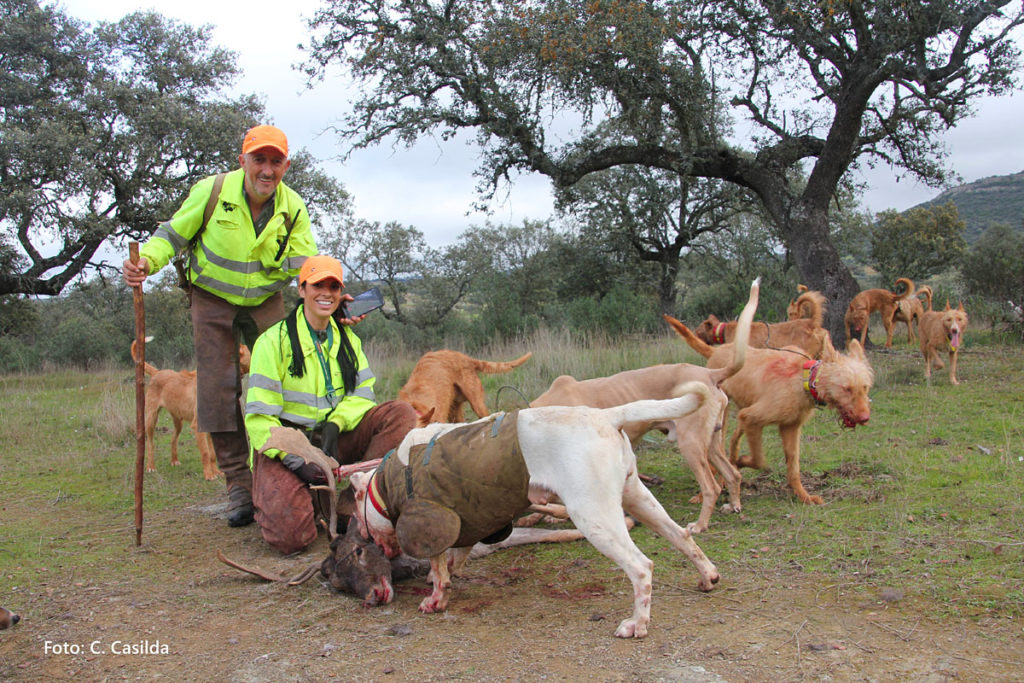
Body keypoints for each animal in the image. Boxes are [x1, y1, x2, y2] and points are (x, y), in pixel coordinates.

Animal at [131, 342, 252, 481]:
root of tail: (158, 372)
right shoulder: (198, 426)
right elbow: (205, 452)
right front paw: (209, 475)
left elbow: (212, 454)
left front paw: (216, 472)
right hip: (151, 418)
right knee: (150, 443)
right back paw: (150, 466)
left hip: (178, 421)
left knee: (173, 439)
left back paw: (174, 460)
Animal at [350, 385, 720, 643]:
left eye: (355, 509)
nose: (366, 538)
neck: (387, 481)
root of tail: (606, 416)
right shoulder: (471, 521)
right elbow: (456, 558)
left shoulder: (432, 521)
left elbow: (441, 571)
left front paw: (435, 600)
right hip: (639, 500)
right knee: (683, 537)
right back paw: (708, 576)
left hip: (594, 517)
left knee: (642, 567)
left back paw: (637, 624)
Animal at [532, 278, 765, 532]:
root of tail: (710, 374)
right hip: (711, 443)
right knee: (733, 475)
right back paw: (734, 506)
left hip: (691, 444)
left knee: (711, 487)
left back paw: (700, 525)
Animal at [667, 317, 876, 505]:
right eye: (846, 388)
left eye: (865, 387)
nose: (865, 418)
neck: (803, 380)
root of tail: (717, 350)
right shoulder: (752, 417)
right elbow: (759, 459)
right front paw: (742, 461)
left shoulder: (790, 428)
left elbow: (793, 466)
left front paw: (803, 496)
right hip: (722, 417)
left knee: (733, 440)